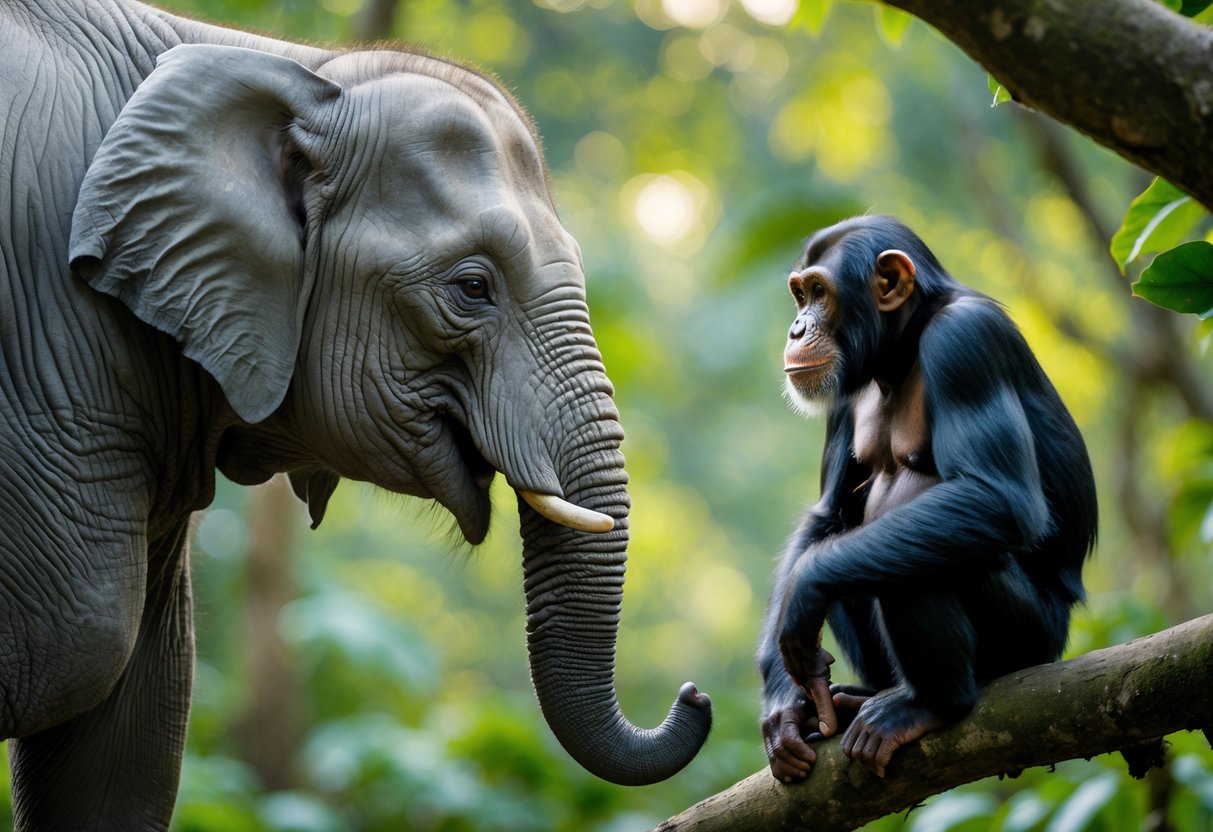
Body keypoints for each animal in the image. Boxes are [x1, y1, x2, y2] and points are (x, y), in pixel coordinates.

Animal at [0, 0, 712, 827]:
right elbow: (78, 652)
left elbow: (126, 738)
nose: (694, 695)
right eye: (473, 288)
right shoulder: (53, 357)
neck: (295, 69)